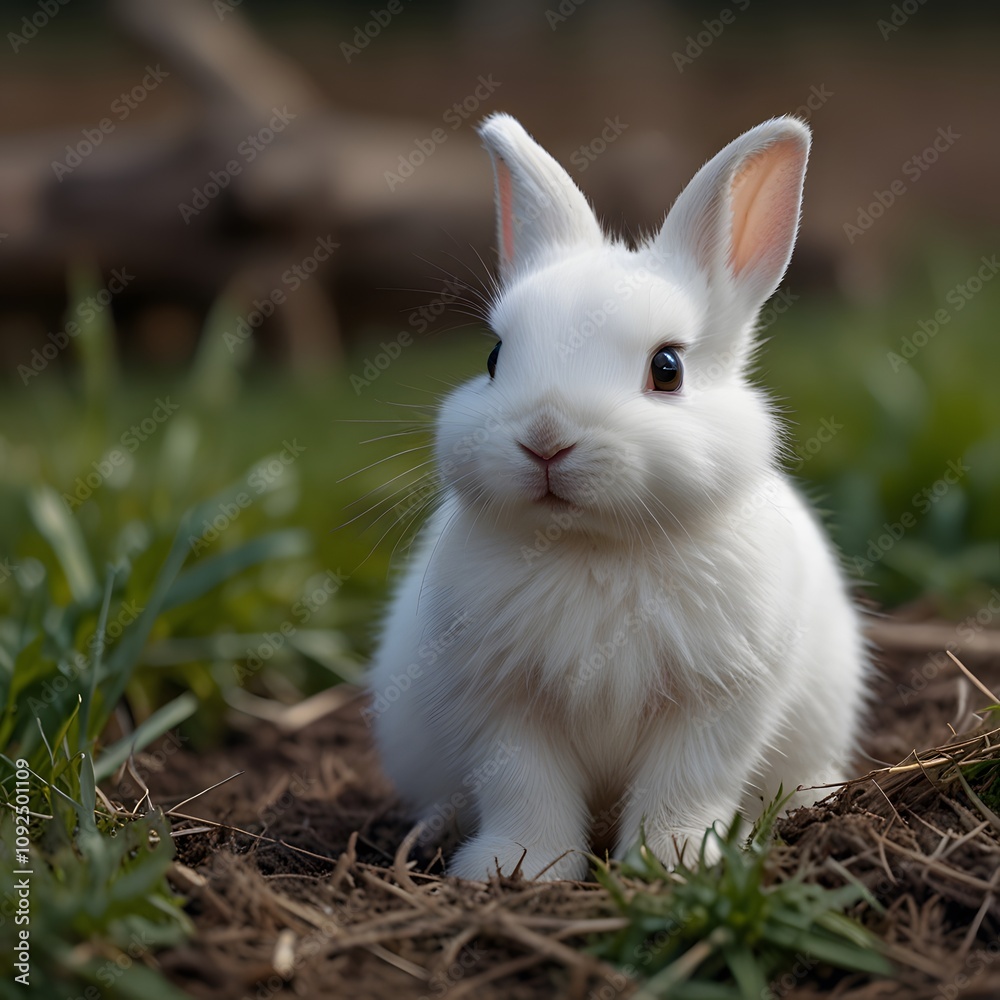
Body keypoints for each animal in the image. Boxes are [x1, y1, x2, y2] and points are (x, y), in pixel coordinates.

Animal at [367, 112, 867, 882]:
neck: (594, 545)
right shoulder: (501, 706)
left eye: (668, 368)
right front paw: (517, 869)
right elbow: (524, 790)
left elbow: (685, 787)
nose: (545, 438)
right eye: (494, 358)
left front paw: (676, 862)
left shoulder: (717, 703)